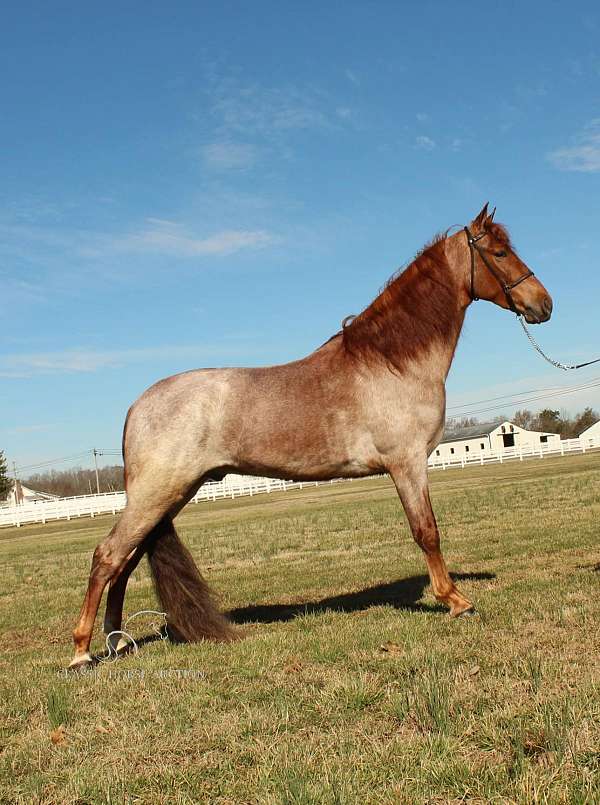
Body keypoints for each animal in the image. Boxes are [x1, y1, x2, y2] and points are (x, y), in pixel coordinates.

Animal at [67, 204, 552, 668]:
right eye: (500, 253)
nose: (544, 304)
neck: (391, 362)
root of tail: (137, 406)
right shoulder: (408, 464)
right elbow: (426, 531)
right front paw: (455, 600)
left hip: (171, 494)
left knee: (125, 562)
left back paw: (116, 641)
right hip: (157, 494)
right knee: (107, 557)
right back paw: (82, 652)